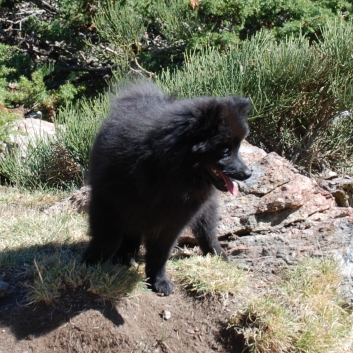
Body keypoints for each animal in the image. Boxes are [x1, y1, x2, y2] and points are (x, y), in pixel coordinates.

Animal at [83, 82, 252, 294]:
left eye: (238, 148)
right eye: (226, 150)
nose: (248, 173)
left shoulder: (173, 220)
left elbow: (160, 253)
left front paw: (158, 280)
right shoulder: (108, 202)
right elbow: (107, 238)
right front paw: (91, 262)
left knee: (207, 231)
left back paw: (217, 253)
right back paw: (125, 257)